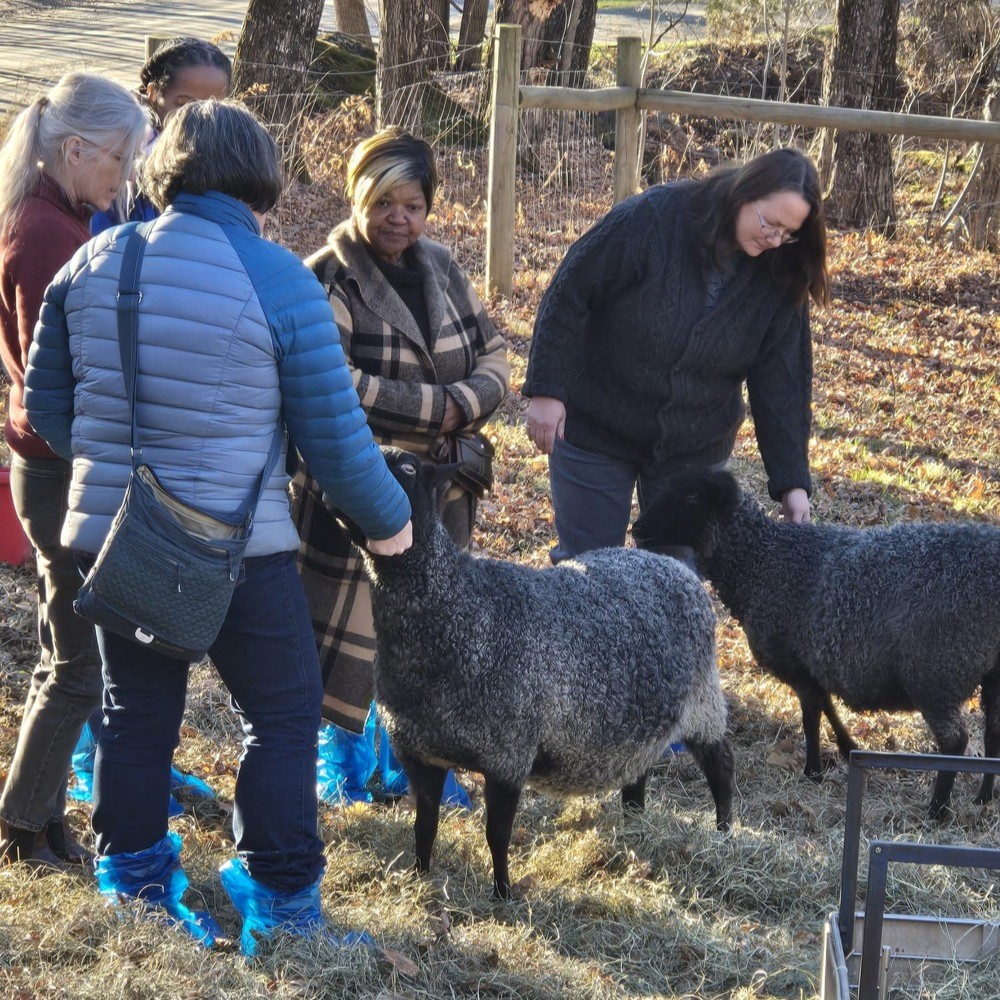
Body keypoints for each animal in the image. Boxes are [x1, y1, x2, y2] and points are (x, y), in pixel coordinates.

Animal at [339, 448, 734, 900]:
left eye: (406, 468)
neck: (456, 608)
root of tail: (675, 567)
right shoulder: (420, 754)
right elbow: (425, 826)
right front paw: (420, 878)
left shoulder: (508, 755)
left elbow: (496, 835)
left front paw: (503, 893)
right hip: (640, 721)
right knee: (637, 775)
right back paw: (635, 828)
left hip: (703, 701)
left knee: (722, 767)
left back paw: (723, 833)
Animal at [631, 467, 1000, 819]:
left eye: (691, 496)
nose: (638, 528)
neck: (761, 563)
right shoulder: (813, 663)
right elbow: (827, 707)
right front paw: (846, 749)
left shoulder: (796, 663)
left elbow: (811, 717)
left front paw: (813, 771)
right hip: (987, 671)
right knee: (992, 732)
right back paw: (983, 798)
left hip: (935, 671)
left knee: (955, 740)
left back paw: (938, 810)